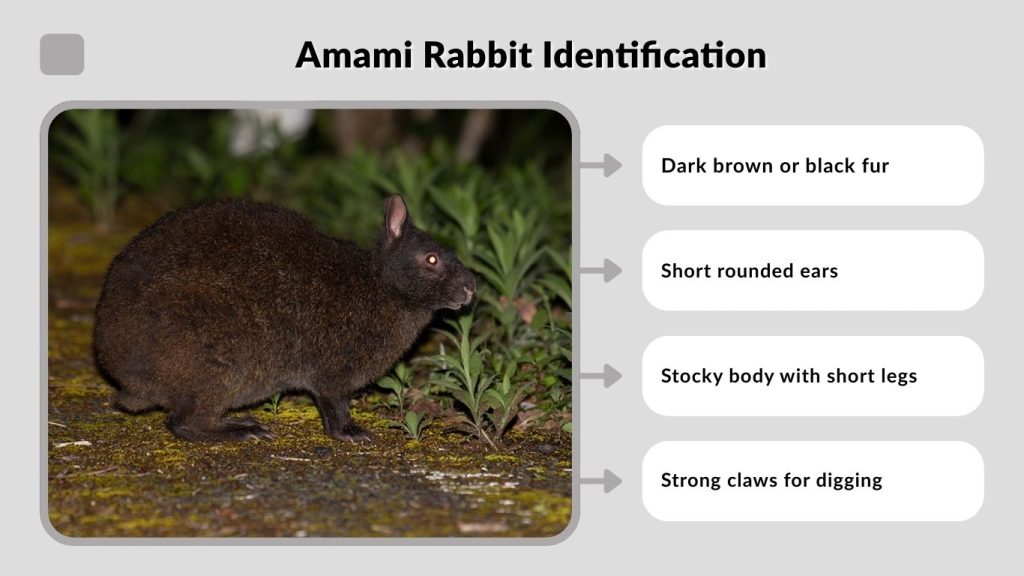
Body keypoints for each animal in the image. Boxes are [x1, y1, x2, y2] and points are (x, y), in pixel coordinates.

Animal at [93, 195, 475, 442]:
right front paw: (351, 434)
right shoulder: (331, 375)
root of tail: (121, 371)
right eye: (431, 259)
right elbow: (335, 408)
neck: (383, 284)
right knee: (183, 424)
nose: (472, 287)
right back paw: (242, 431)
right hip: (219, 369)